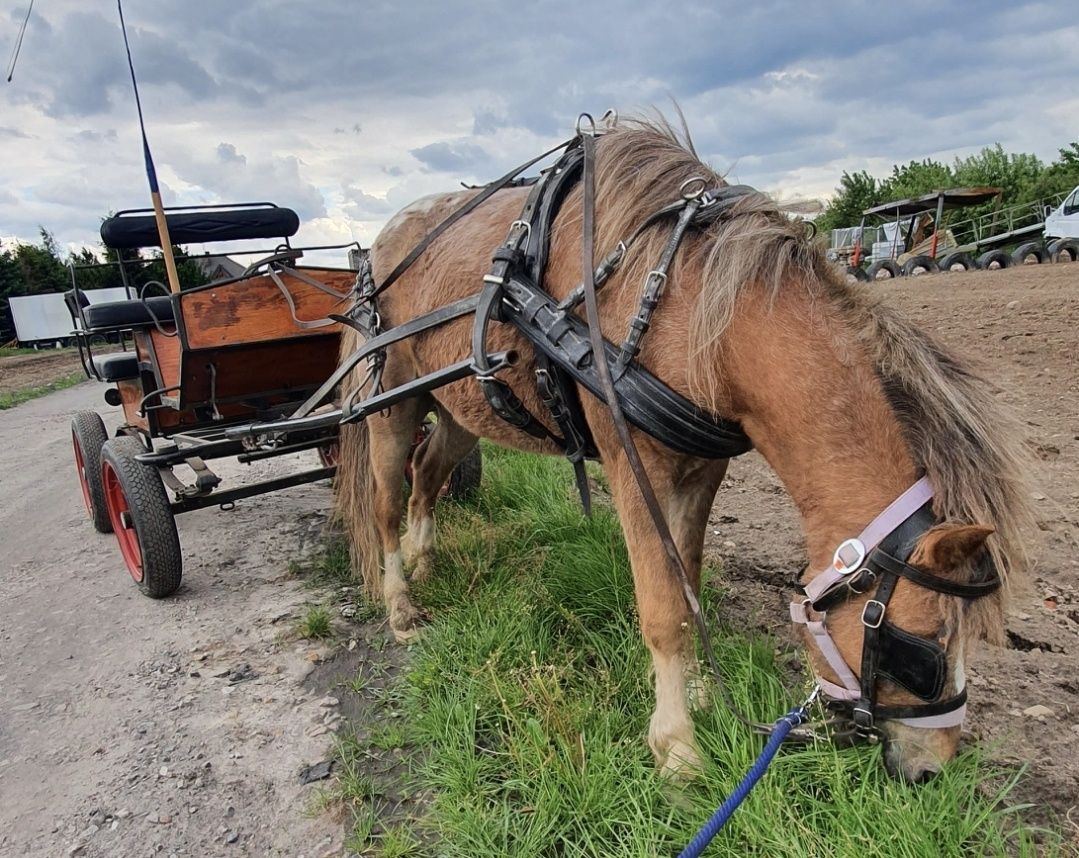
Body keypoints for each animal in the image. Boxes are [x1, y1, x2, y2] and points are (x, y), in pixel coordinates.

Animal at [332, 116, 1031, 785]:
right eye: (928, 646)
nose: (933, 769)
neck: (690, 303)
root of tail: (377, 248)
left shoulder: (702, 470)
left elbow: (686, 579)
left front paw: (695, 693)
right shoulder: (634, 465)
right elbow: (664, 607)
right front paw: (677, 749)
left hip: (459, 407)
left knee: (428, 474)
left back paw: (424, 559)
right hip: (390, 403)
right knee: (387, 500)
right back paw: (400, 603)